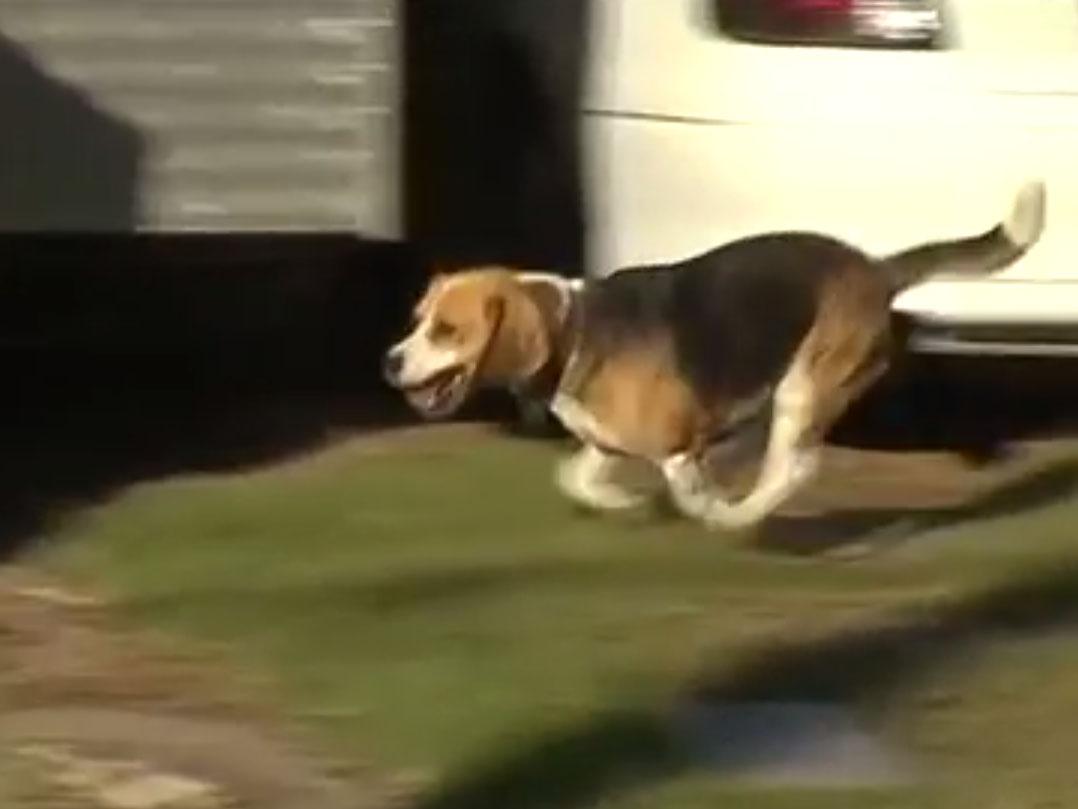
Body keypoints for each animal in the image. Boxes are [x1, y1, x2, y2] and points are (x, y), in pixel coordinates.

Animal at [388, 185, 1043, 532]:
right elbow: (573, 477)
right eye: (417, 318)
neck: (575, 329)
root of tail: (874, 268)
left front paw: (705, 507)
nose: (390, 362)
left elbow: (686, 490)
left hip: (802, 389)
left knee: (794, 469)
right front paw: (621, 502)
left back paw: (742, 515)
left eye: (446, 330)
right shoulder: (608, 444)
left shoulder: (678, 446)